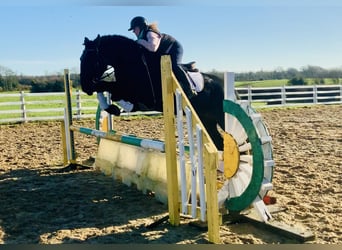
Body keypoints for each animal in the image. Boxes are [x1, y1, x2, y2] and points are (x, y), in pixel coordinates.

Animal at [79, 34, 226, 149]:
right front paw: (113, 109)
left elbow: (106, 88)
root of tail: (221, 83)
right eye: (81, 58)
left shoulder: (136, 93)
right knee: (219, 142)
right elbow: (103, 88)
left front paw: (118, 108)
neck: (132, 63)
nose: (85, 87)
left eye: (91, 59)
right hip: (206, 120)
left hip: (219, 117)